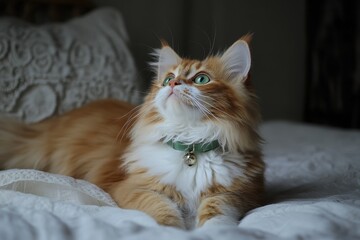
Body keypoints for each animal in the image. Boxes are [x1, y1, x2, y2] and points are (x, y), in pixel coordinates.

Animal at [0, 34, 264, 230]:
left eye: (201, 79)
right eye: (168, 78)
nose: (172, 84)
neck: (190, 145)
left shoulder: (239, 193)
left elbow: (217, 212)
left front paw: (213, 232)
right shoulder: (133, 187)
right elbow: (161, 208)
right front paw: (172, 230)